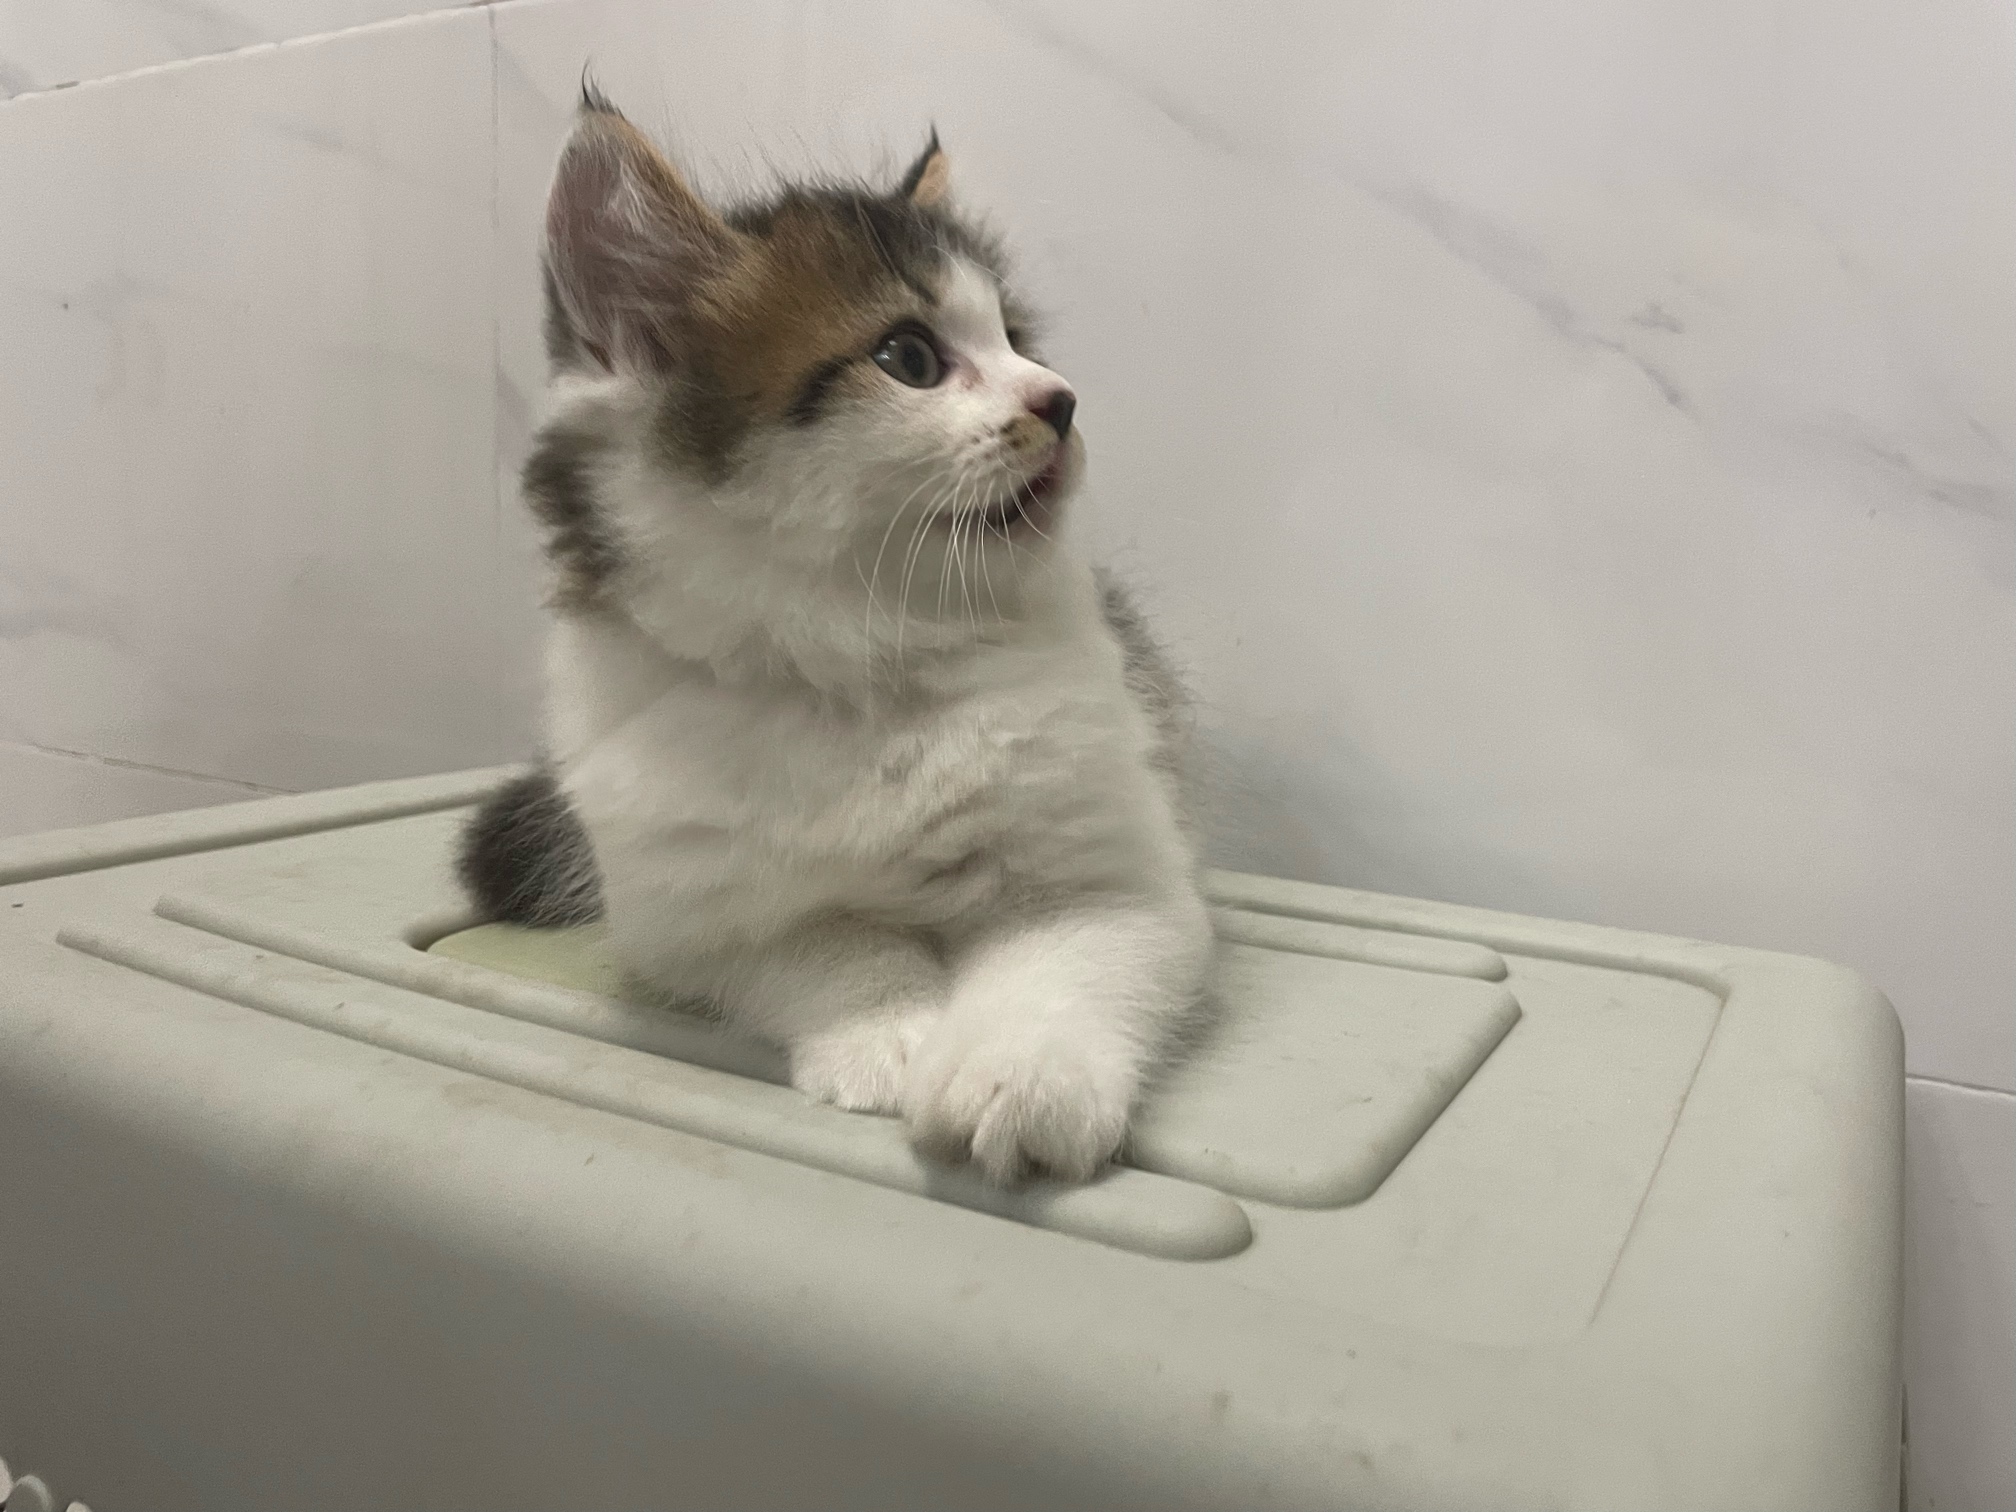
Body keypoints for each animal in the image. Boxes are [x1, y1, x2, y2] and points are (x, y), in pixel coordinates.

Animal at [459, 87, 1211, 1185]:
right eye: (910, 358)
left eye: (1020, 337)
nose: (1061, 400)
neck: (858, 653)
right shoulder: (684, 918)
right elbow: (829, 948)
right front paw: (890, 1035)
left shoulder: (1119, 872)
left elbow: (1059, 964)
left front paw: (1018, 1079)